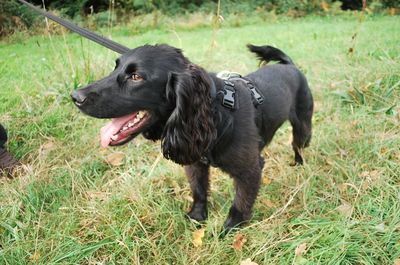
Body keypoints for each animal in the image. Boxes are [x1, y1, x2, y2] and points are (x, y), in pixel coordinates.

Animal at [71, 44, 312, 232]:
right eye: (116, 68)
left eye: (136, 77)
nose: (75, 96)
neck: (215, 113)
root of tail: (289, 65)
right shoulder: (195, 162)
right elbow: (199, 191)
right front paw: (196, 217)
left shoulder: (250, 170)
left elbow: (240, 203)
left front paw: (231, 228)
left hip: (303, 127)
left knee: (298, 146)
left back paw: (299, 165)